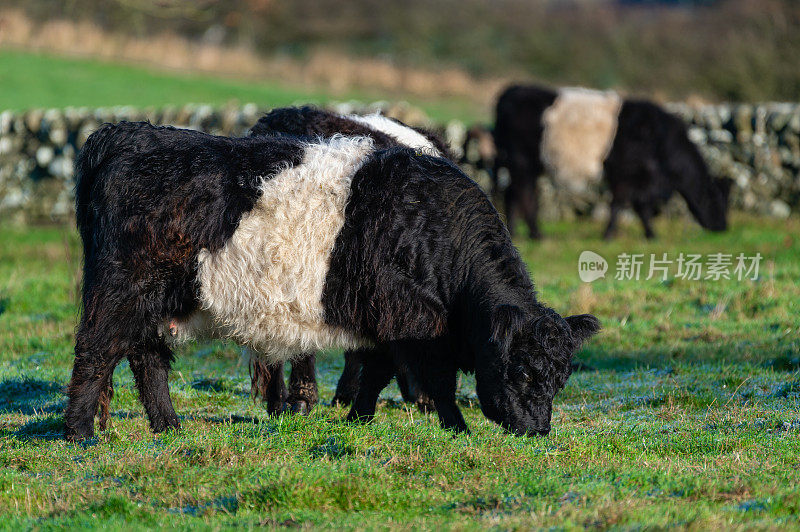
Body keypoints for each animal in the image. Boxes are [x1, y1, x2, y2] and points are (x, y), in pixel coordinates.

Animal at [494, 84, 732, 239]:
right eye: (716, 200)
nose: (723, 226)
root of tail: (512, 90)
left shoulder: (642, 177)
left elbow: (638, 205)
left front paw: (648, 233)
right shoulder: (627, 173)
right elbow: (624, 203)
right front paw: (612, 234)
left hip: (523, 165)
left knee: (512, 194)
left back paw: (515, 233)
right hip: (522, 161)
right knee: (524, 195)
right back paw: (537, 234)